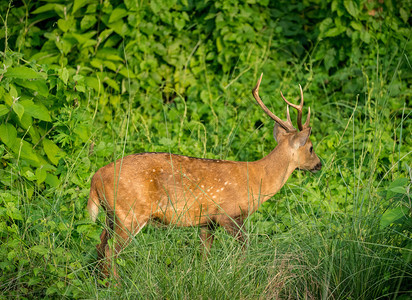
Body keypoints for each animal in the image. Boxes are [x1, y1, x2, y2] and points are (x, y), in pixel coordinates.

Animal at [87, 74, 322, 280]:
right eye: (311, 148)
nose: (319, 164)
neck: (257, 180)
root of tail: (96, 177)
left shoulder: (206, 222)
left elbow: (203, 255)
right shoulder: (228, 214)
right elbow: (244, 249)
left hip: (112, 214)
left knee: (99, 244)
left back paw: (101, 282)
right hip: (130, 213)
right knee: (110, 251)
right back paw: (116, 284)